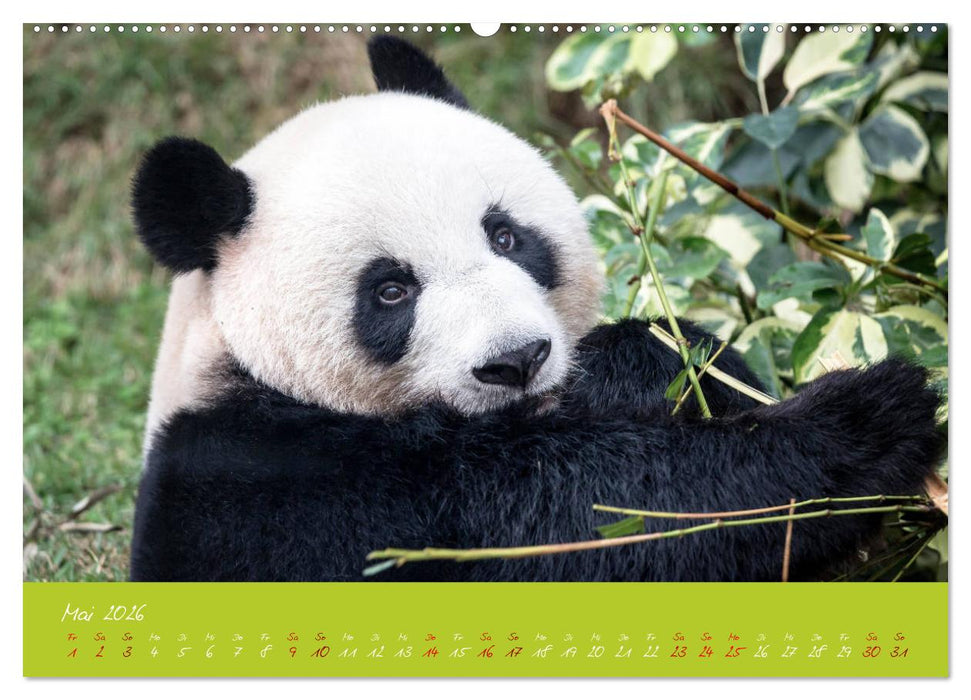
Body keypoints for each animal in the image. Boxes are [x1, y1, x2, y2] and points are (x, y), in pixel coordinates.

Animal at [129, 36, 943, 582]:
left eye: (505, 235)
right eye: (390, 290)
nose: (516, 360)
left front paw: (636, 362)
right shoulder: (282, 489)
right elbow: (578, 521)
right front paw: (866, 423)